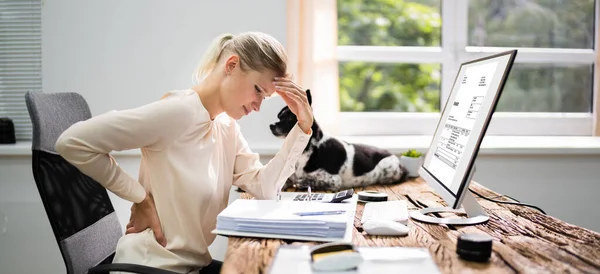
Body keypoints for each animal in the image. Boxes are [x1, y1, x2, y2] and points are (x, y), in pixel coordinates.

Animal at [270, 89, 410, 191]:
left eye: (289, 119)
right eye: (279, 117)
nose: (271, 125)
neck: (309, 149)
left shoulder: (334, 180)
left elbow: (313, 180)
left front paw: (304, 182)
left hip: (387, 168)